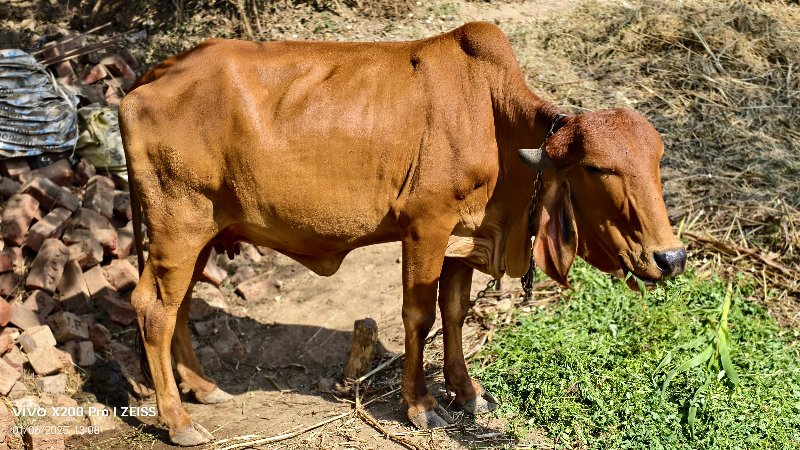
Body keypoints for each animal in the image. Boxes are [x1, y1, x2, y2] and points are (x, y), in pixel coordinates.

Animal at [120, 22, 688, 444]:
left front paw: (467, 393)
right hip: (179, 226)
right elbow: (420, 315)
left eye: (657, 160)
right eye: (597, 169)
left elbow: (455, 313)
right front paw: (419, 405)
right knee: (153, 308)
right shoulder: (425, 227)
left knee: (179, 307)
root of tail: (149, 79)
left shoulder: (463, 237)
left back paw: (203, 388)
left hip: (200, 234)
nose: (671, 257)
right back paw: (178, 421)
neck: (494, 121)